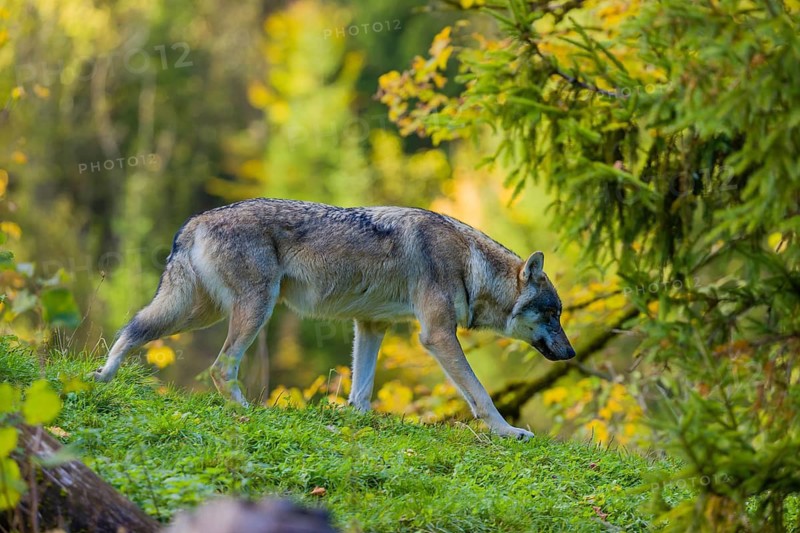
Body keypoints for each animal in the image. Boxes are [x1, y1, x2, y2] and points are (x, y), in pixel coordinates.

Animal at [93, 199, 575, 439]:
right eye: (552, 314)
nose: (571, 353)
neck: (469, 263)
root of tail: (195, 220)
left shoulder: (372, 326)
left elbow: (360, 392)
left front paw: (358, 422)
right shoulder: (437, 336)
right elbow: (481, 395)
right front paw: (508, 432)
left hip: (197, 312)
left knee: (132, 327)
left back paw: (102, 376)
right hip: (252, 310)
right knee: (219, 367)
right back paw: (248, 413)